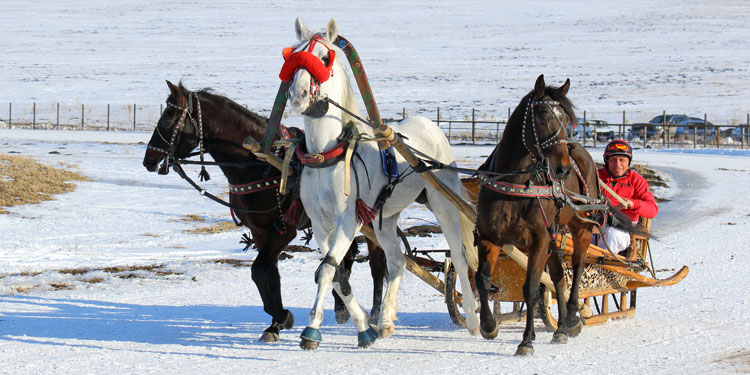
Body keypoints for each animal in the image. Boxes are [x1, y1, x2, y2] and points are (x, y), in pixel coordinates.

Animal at [144, 81, 388, 344]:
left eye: (168, 118)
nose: (148, 159)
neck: (258, 163)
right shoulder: (259, 231)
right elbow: (268, 275)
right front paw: (275, 323)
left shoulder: (283, 231)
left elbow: (259, 270)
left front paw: (282, 316)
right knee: (347, 257)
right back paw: (341, 306)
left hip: (369, 221)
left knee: (376, 264)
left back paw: (375, 315)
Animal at [284, 18, 482, 352]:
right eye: (295, 56)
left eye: (324, 59)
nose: (297, 95)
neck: (327, 155)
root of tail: (430, 125)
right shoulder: (321, 224)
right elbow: (335, 272)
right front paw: (365, 325)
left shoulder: (347, 220)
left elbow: (327, 270)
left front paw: (312, 330)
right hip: (384, 218)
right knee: (398, 260)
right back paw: (387, 321)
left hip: (443, 203)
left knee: (459, 255)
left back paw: (473, 318)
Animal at [476, 75, 648, 356]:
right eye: (542, 116)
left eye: (567, 119)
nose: (563, 169)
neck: (515, 183)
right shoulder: (489, 237)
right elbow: (482, 280)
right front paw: (488, 325)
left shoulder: (538, 239)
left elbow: (531, 288)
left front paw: (527, 340)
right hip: (556, 233)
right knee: (557, 274)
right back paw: (562, 327)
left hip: (580, 228)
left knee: (576, 267)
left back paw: (570, 318)